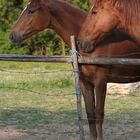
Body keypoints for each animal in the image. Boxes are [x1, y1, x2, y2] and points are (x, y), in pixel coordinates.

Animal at [10, 0, 140, 140]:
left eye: (31, 11)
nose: (12, 35)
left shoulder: (100, 82)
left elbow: (99, 114)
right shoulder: (85, 83)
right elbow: (90, 114)